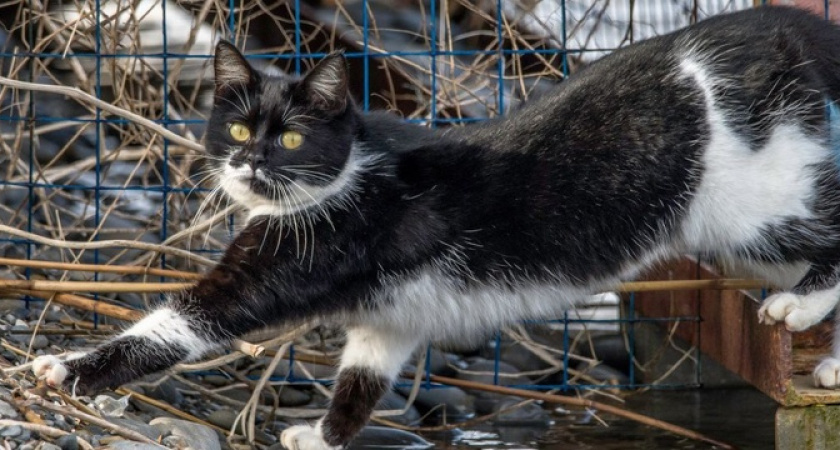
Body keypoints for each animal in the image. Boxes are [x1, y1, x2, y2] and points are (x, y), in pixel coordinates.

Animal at [29, 6, 840, 450]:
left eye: (289, 139)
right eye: (233, 127)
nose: (249, 163)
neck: (344, 175)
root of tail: (772, 29)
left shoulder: (290, 260)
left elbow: (183, 322)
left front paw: (67, 370)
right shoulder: (391, 317)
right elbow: (363, 375)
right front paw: (324, 435)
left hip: (750, 202)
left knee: (828, 234)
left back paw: (797, 306)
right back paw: (827, 363)